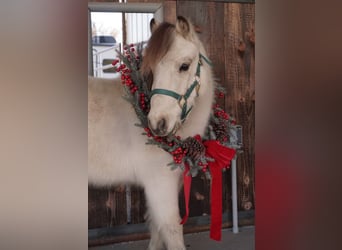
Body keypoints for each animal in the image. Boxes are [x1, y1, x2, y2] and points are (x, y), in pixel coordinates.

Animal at [89, 16, 215, 249]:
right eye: (152, 71)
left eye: (184, 66)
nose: (158, 123)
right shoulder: (159, 183)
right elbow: (171, 229)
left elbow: (157, 228)